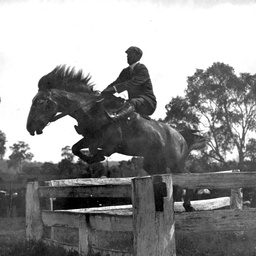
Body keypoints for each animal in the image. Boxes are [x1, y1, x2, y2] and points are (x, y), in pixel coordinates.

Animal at [26, 66, 206, 212]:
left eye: (40, 102)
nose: (29, 128)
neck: (93, 110)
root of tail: (181, 136)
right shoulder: (90, 138)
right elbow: (75, 148)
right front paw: (91, 158)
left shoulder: (110, 144)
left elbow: (101, 150)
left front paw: (97, 157)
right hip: (154, 164)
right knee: (174, 181)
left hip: (175, 162)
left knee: (188, 178)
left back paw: (187, 205)